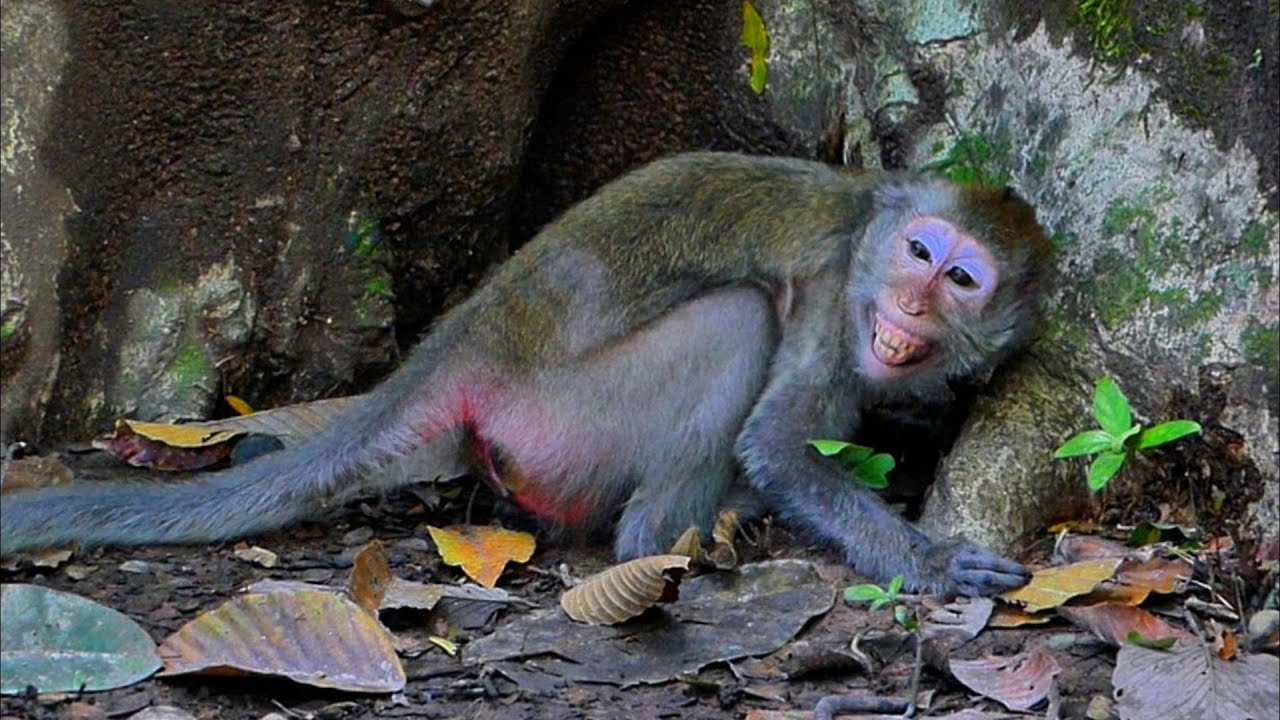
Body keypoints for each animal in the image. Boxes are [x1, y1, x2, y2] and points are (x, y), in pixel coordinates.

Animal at [0, 152, 1050, 596]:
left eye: (961, 279)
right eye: (919, 252)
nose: (912, 304)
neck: (868, 236)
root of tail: (467, 340)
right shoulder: (834, 295)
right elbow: (780, 446)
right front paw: (932, 562)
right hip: (568, 416)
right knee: (737, 318)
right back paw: (669, 545)